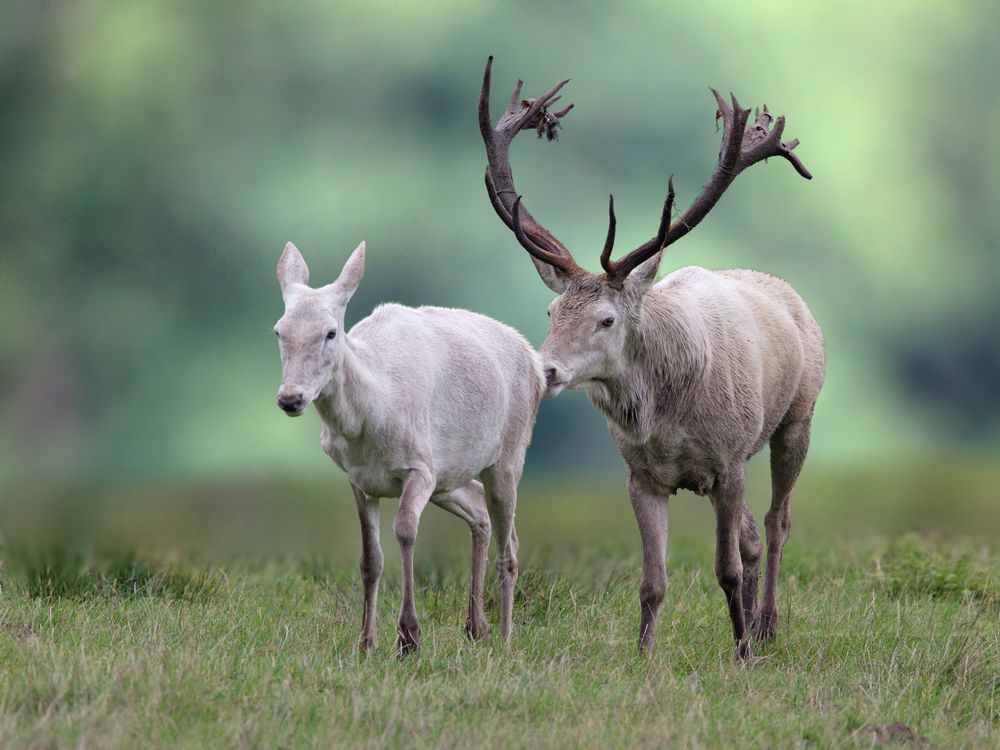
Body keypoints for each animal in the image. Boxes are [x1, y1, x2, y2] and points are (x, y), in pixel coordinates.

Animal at [276, 238, 548, 656]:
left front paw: (408, 638)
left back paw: (504, 639)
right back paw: (476, 627)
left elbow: (405, 530)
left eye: (331, 332)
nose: (290, 398)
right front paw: (366, 643)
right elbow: (370, 557)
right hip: (448, 475)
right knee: (478, 507)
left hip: (509, 451)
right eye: (278, 331)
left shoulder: (419, 465)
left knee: (511, 544)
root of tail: (537, 363)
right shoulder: (358, 479)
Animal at [480, 55, 824, 660]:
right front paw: (643, 655)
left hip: (796, 418)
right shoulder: (640, 476)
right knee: (752, 535)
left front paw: (741, 654)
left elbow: (725, 569)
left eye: (607, 319)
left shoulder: (729, 460)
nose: (546, 369)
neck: (666, 421)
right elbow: (653, 579)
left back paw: (765, 627)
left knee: (776, 523)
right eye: (551, 310)